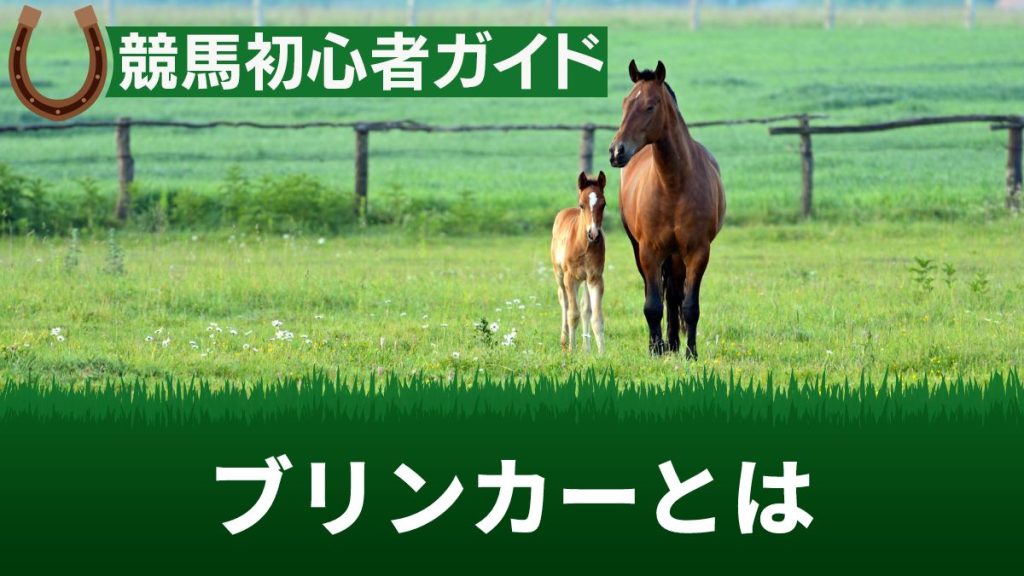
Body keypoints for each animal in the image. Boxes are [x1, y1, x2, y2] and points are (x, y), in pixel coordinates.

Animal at [550, 171, 608, 353]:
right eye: (582, 205)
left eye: (604, 204)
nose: (593, 234)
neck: (584, 246)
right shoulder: (570, 278)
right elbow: (572, 314)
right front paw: (572, 350)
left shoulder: (595, 278)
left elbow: (595, 317)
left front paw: (601, 354)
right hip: (559, 274)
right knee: (564, 301)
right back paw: (564, 341)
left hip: (584, 280)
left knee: (585, 309)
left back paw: (586, 348)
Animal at [608, 60, 726, 358]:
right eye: (625, 102)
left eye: (650, 106)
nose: (616, 152)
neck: (674, 185)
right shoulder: (649, 251)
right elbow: (652, 305)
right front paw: (655, 349)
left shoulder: (698, 251)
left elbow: (689, 306)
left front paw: (690, 352)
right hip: (643, 250)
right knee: (659, 294)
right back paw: (663, 344)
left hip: (676, 255)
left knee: (673, 295)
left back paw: (673, 342)